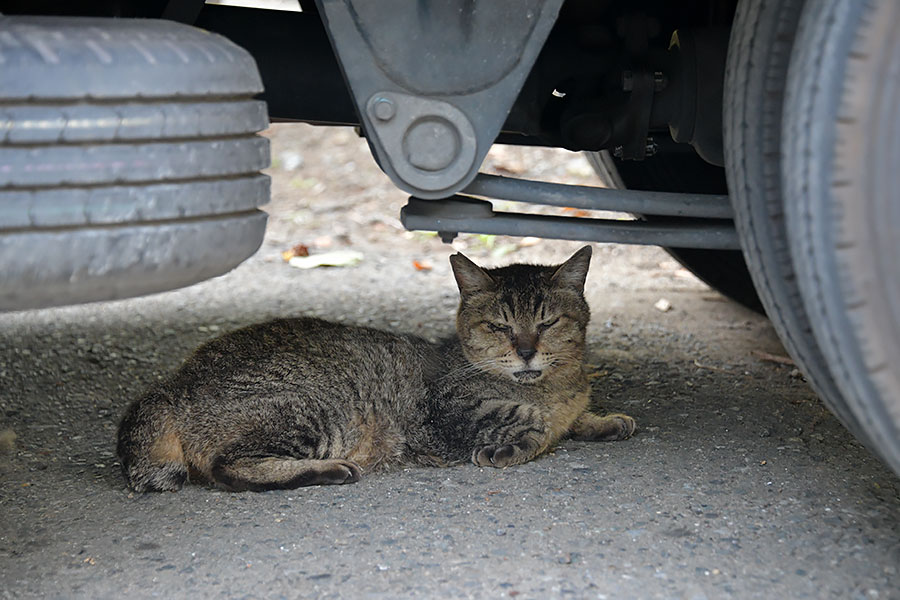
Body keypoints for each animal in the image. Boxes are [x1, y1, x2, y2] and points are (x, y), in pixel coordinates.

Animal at [118, 245, 632, 492]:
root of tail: (173, 386)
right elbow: (528, 421)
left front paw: (603, 420)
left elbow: (573, 419)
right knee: (230, 467)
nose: (526, 351)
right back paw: (327, 470)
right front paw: (519, 442)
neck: (554, 387)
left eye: (547, 322)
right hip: (312, 411)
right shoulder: (447, 410)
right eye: (500, 326)